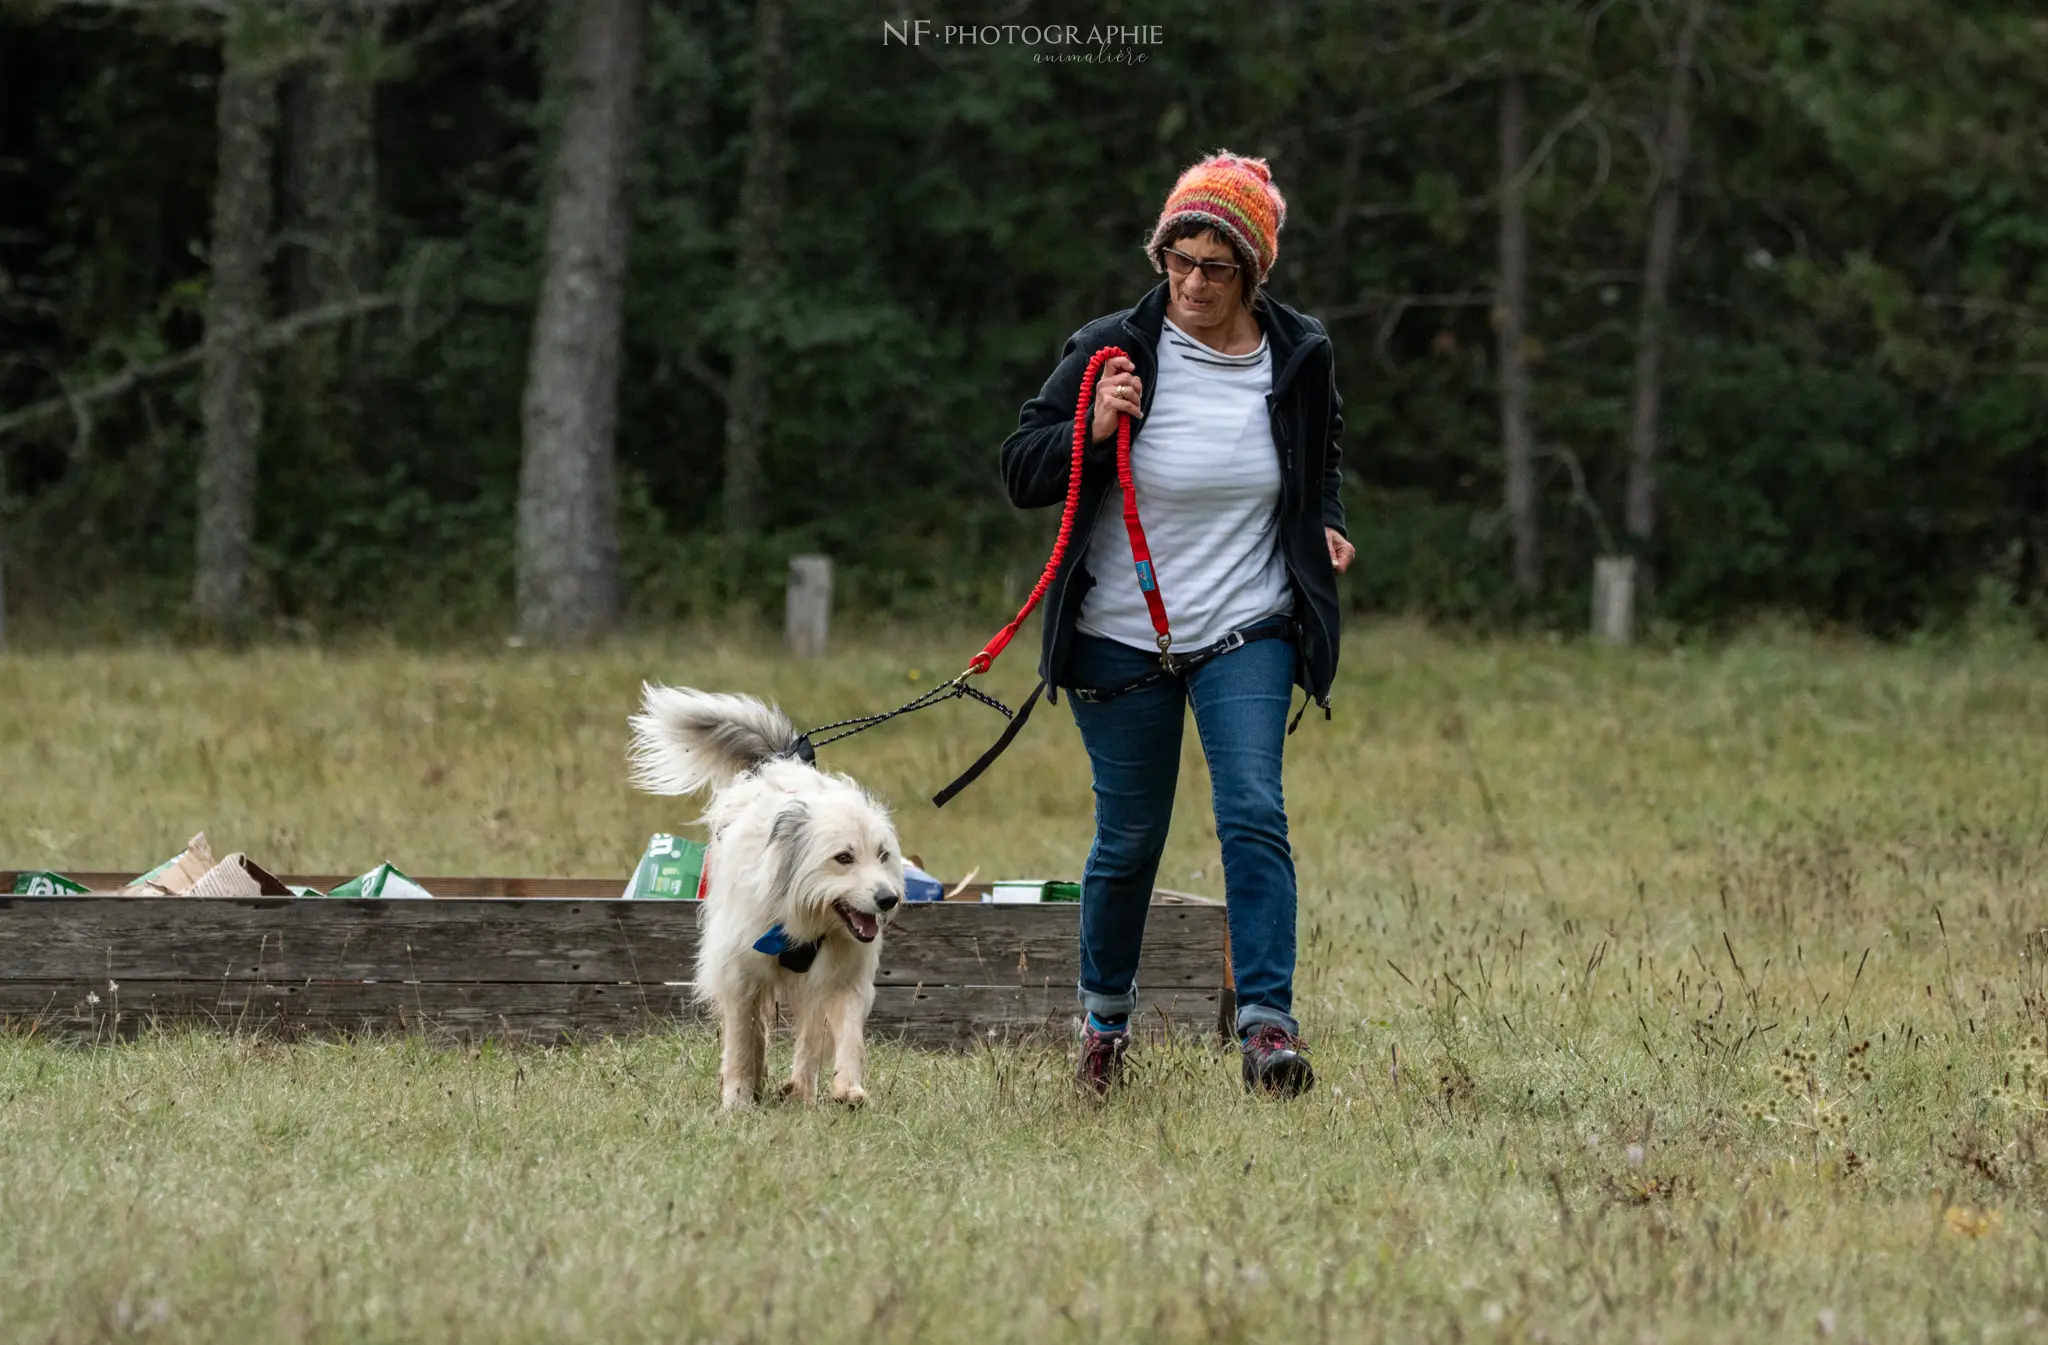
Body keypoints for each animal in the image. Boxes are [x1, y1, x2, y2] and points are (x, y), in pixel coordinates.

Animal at [626, 687, 901, 1105]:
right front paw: (738, 1098)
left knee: (809, 1035)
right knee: (757, 1033)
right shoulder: (740, 972)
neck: (799, 915)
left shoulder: (842, 974)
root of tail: (781, 758)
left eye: (883, 855)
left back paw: (801, 1089)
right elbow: (743, 1039)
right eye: (844, 858)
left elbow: (847, 1032)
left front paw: (848, 1088)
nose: (889, 900)